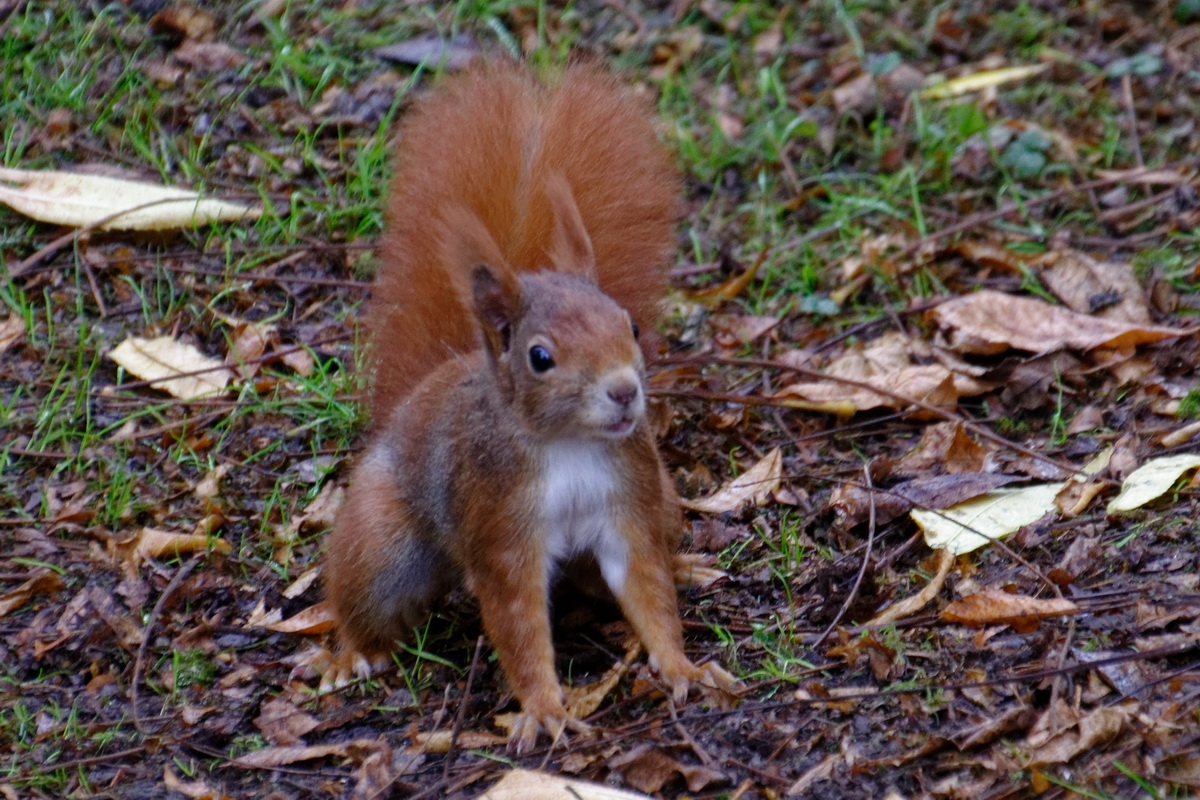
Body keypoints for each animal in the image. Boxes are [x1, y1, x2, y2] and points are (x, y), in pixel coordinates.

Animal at [321, 61, 729, 753]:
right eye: (541, 357)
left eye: (630, 325)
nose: (625, 390)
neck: (566, 446)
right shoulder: (500, 529)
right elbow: (518, 623)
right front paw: (543, 706)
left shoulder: (628, 502)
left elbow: (646, 588)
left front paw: (680, 666)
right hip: (384, 540)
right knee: (366, 592)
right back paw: (354, 653)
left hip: (666, 499)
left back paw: (687, 566)